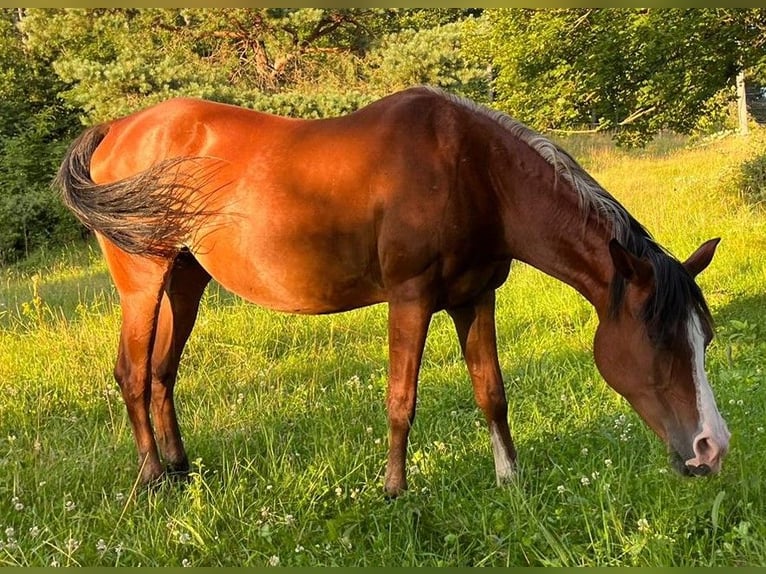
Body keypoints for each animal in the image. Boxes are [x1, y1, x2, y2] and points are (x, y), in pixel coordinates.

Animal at [55, 86, 732, 500]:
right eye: (660, 342)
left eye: (704, 338)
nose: (712, 449)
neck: (475, 172)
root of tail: (117, 128)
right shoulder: (411, 300)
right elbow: (401, 400)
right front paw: (394, 490)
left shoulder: (474, 298)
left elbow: (492, 393)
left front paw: (509, 479)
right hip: (143, 282)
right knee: (132, 372)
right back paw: (151, 479)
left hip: (186, 281)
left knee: (162, 371)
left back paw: (180, 467)